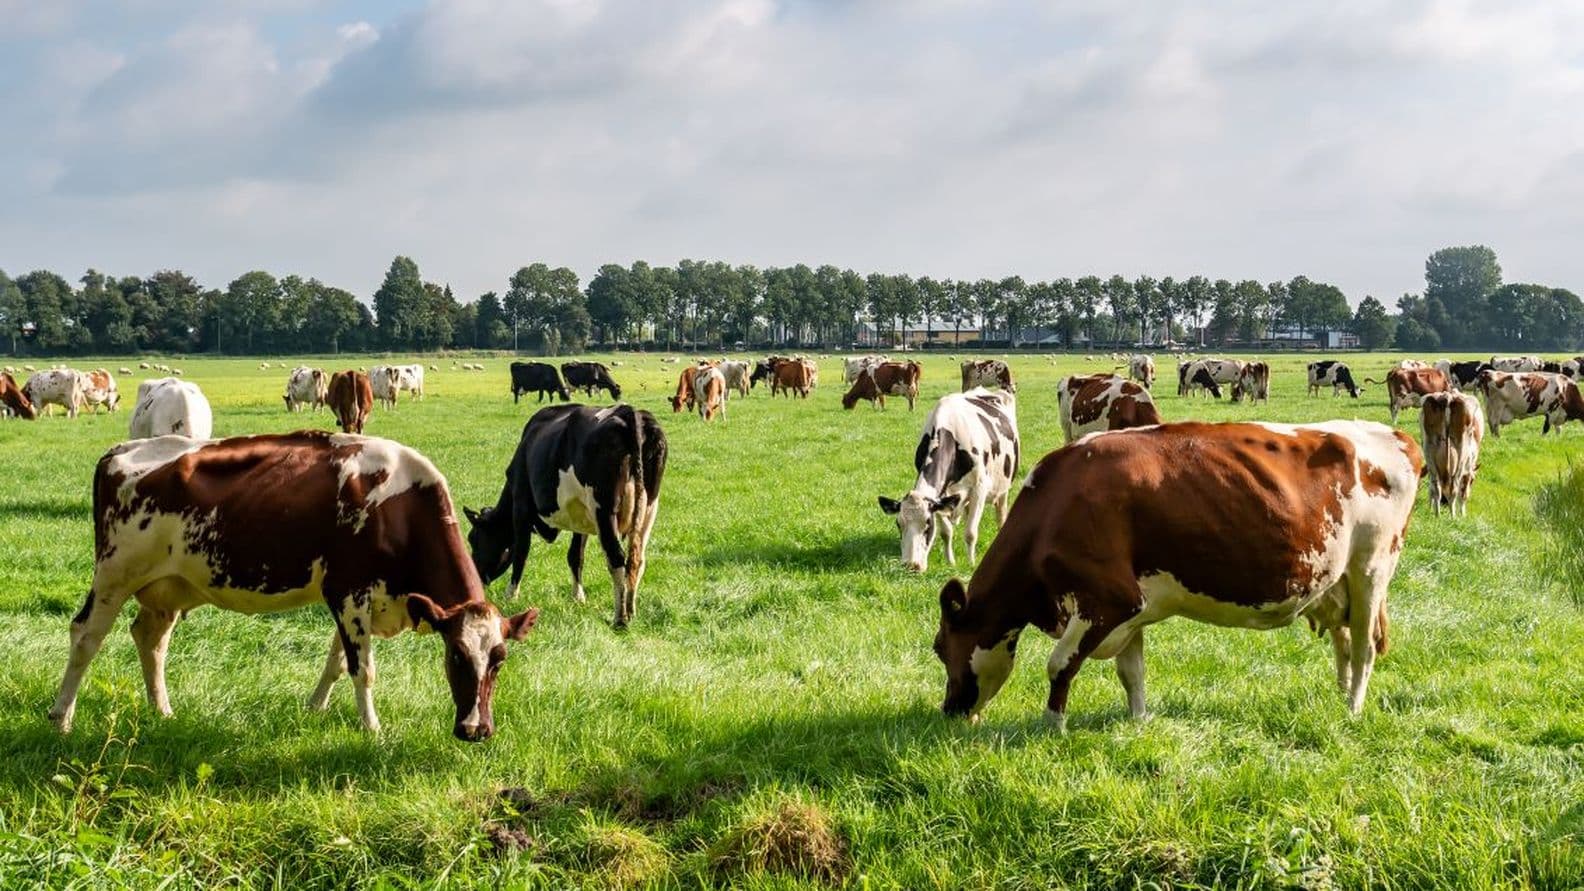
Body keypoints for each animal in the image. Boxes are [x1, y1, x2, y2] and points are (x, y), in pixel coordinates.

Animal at [48, 432, 538, 741]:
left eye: (499, 660)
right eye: (455, 656)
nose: (475, 730)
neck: (400, 509)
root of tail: (122, 449)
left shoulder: (358, 600)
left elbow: (337, 662)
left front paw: (315, 707)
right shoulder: (349, 591)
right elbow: (363, 669)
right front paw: (372, 729)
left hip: (168, 585)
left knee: (150, 639)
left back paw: (162, 711)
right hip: (115, 574)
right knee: (86, 636)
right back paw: (61, 717)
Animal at [464, 404, 667, 627]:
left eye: (474, 539)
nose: (476, 578)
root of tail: (630, 412)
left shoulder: (521, 505)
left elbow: (520, 552)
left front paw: (511, 597)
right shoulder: (582, 518)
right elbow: (575, 556)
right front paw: (578, 597)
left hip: (604, 508)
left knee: (616, 558)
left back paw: (620, 619)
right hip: (649, 507)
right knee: (637, 559)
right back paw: (631, 612)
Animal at [878, 389, 1018, 572]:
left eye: (928, 525)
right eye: (898, 524)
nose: (911, 565)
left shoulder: (979, 488)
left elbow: (970, 533)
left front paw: (971, 563)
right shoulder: (941, 497)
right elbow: (946, 532)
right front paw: (950, 562)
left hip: (1003, 486)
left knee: (1001, 513)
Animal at [932, 420, 1422, 729]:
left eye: (939, 648)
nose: (949, 711)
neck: (1056, 506)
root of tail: (1394, 434)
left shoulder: (1109, 600)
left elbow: (1060, 665)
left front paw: (1052, 725)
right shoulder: (1131, 611)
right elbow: (1132, 672)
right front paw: (1138, 721)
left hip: (1371, 568)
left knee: (1363, 647)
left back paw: (1353, 708)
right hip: (1334, 581)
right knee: (1344, 642)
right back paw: (1340, 696)